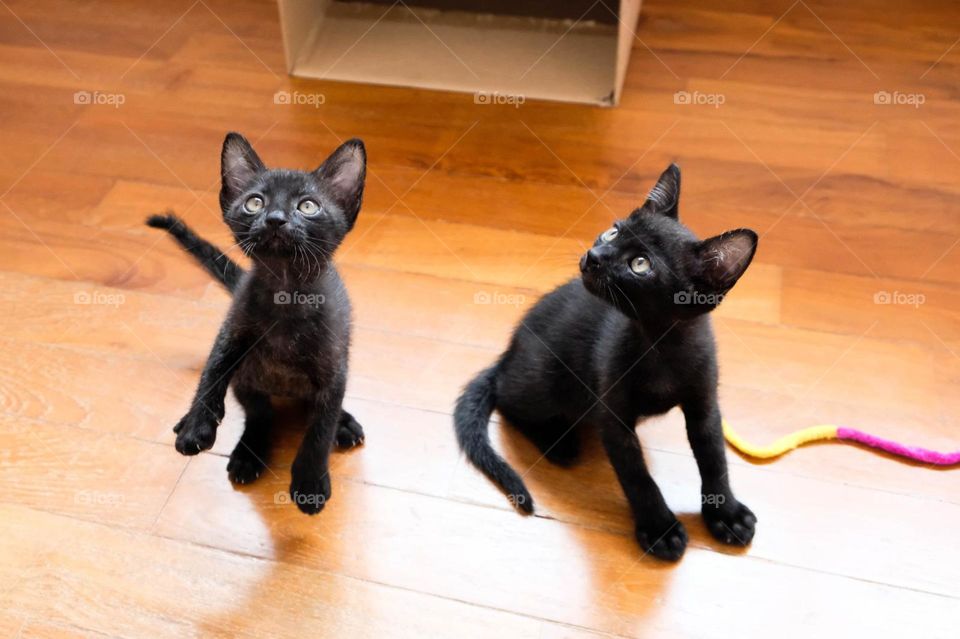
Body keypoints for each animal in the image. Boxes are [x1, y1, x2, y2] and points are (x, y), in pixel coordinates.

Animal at [149, 132, 368, 516]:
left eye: (308, 206)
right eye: (254, 202)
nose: (275, 218)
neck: (285, 291)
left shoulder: (333, 365)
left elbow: (320, 429)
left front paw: (310, 481)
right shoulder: (233, 330)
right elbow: (213, 370)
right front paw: (196, 426)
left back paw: (343, 424)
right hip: (247, 379)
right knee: (260, 413)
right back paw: (246, 454)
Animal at [454, 164, 760, 560]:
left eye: (640, 265)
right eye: (614, 231)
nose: (595, 253)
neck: (658, 345)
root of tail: (510, 349)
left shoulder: (704, 406)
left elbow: (715, 461)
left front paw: (726, 514)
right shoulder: (612, 417)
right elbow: (637, 475)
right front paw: (659, 528)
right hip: (544, 381)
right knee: (508, 399)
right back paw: (559, 443)